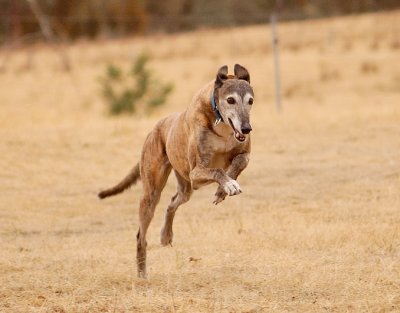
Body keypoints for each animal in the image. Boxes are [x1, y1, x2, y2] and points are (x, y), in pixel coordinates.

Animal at [99, 62, 255, 276]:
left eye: (250, 101)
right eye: (230, 100)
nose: (247, 128)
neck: (221, 123)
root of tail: (155, 128)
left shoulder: (243, 154)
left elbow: (237, 163)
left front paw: (223, 190)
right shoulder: (197, 173)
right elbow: (218, 171)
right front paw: (227, 185)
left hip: (185, 188)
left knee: (172, 203)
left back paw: (166, 235)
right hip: (152, 193)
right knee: (141, 236)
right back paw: (142, 273)